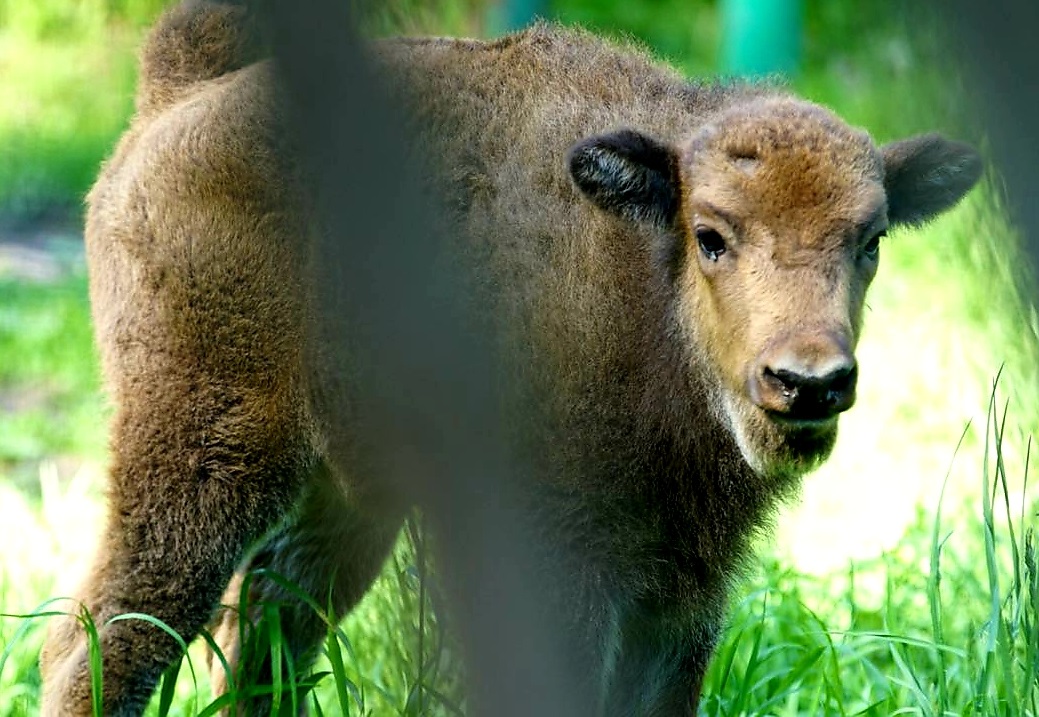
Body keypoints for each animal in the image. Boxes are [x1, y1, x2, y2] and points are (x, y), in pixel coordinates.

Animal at [42, 2, 980, 710]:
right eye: (711, 235)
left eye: (870, 239)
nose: (807, 381)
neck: (643, 278)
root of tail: (177, 98)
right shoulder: (566, 566)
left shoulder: (682, 589)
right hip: (201, 450)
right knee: (110, 639)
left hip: (346, 495)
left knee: (266, 625)